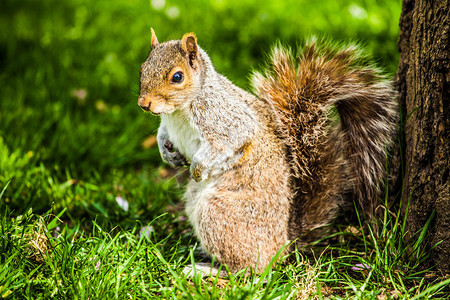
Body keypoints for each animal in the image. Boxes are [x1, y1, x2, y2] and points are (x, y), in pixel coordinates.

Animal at [138, 29, 398, 274]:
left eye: (177, 77)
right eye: (142, 68)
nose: (143, 103)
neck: (177, 111)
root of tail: (284, 245)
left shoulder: (225, 118)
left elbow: (228, 142)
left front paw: (198, 169)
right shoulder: (168, 124)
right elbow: (162, 133)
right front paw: (167, 152)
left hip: (218, 214)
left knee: (250, 269)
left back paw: (208, 269)